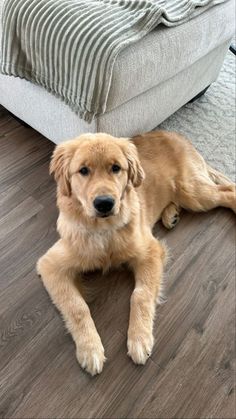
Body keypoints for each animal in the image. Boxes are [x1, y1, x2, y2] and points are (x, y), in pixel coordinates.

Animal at [36, 131, 235, 378]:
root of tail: (176, 135)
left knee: (229, 192)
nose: (104, 203)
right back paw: (171, 215)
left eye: (116, 168)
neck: (105, 230)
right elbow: (77, 307)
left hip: (194, 193)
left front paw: (139, 339)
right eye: (83, 170)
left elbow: (140, 295)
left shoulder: (150, 252)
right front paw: (90, 349)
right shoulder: (50, 264)